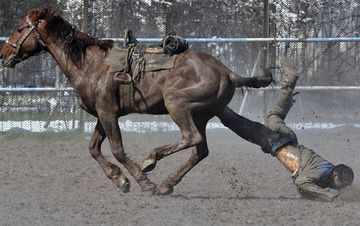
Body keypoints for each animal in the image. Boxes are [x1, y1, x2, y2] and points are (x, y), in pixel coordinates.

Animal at [0, 8, 270, 196]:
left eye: (20, 28)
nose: (4, 54)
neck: (90, 64)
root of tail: (227, 72)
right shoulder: (102, 115)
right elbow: (93, 148)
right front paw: (120, 180)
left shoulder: (108, 113)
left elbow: (117, 150)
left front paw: (143, 182)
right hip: (202, 115)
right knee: (200, 150)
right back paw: (167, 184)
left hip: (178, 105)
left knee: (190, 138)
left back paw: (151, 162)